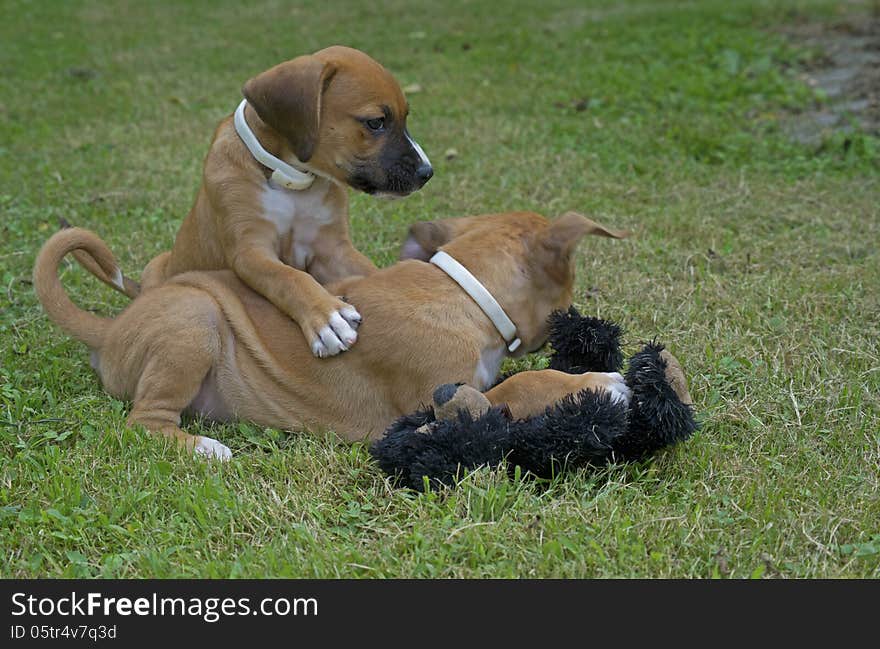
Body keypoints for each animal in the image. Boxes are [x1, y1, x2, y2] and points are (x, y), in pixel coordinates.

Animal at [32, 210, 624, 458]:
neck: (463, 292)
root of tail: (110, 331)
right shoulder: (437, 395)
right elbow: (522, 386)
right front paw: (601, 382)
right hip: (193, 317)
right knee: (142, 423)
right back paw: (205, 449)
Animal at [75, 45, 434, 360]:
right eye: (375, 122)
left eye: (405, 116)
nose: (427, 173)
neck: (291, 180)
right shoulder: (250, 252)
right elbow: (289, 278)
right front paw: (328, 317)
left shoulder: (331, 247)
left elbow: (369, 271)